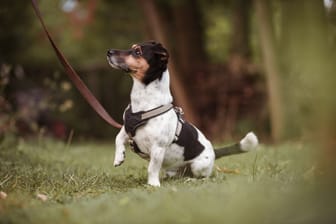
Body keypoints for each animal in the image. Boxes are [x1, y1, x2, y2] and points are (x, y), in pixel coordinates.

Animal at [106, 41, 258, 186]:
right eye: (132, 47)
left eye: (138, 52)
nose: (109, 51)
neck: (142, 106)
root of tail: (214, 151)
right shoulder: (126, 129)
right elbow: (118, 138)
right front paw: (119, 157)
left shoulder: (158, 148)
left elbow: (152, 168)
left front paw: (153, 184)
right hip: (174, 170)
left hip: (198, 166)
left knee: (204, 178)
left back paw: (191, 180)